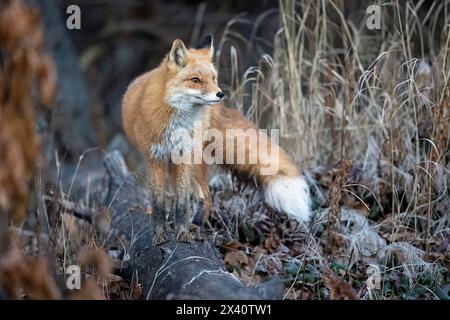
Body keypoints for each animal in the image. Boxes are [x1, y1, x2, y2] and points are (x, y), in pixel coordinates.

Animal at [121, 35, 312, 245]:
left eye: (213, 78)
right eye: (195, 80)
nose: (220, 94)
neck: (177, 123)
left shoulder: (184, 157)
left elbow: (182, 202)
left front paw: (182, 232)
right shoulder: (154, 159)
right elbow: (158, 203)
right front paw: (160, 234)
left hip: (194, 162)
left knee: (204, 195)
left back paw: (197, 225)